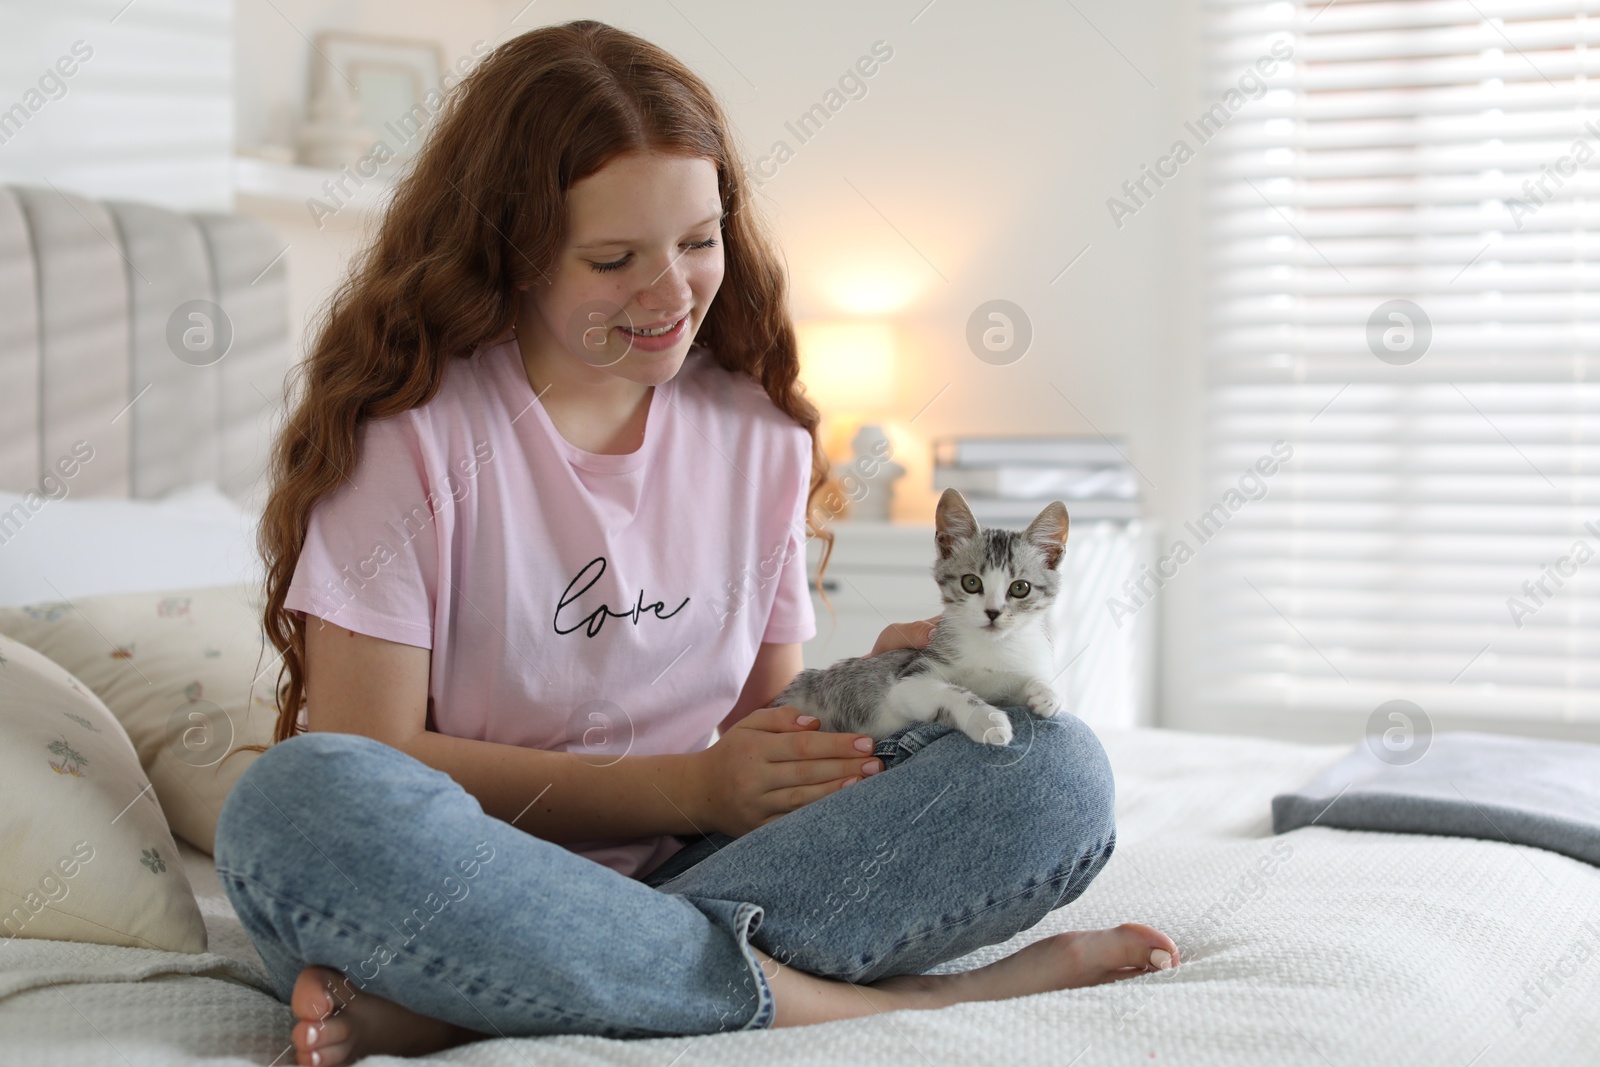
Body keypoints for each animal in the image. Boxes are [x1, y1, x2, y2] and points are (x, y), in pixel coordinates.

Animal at [768, 489, 1068, 748]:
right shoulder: (909, 679)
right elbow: (951, 691)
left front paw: (1046, 693)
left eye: (1020, 588)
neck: (992, 648)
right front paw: (987, 718)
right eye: (971, 582)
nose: (993, 612)